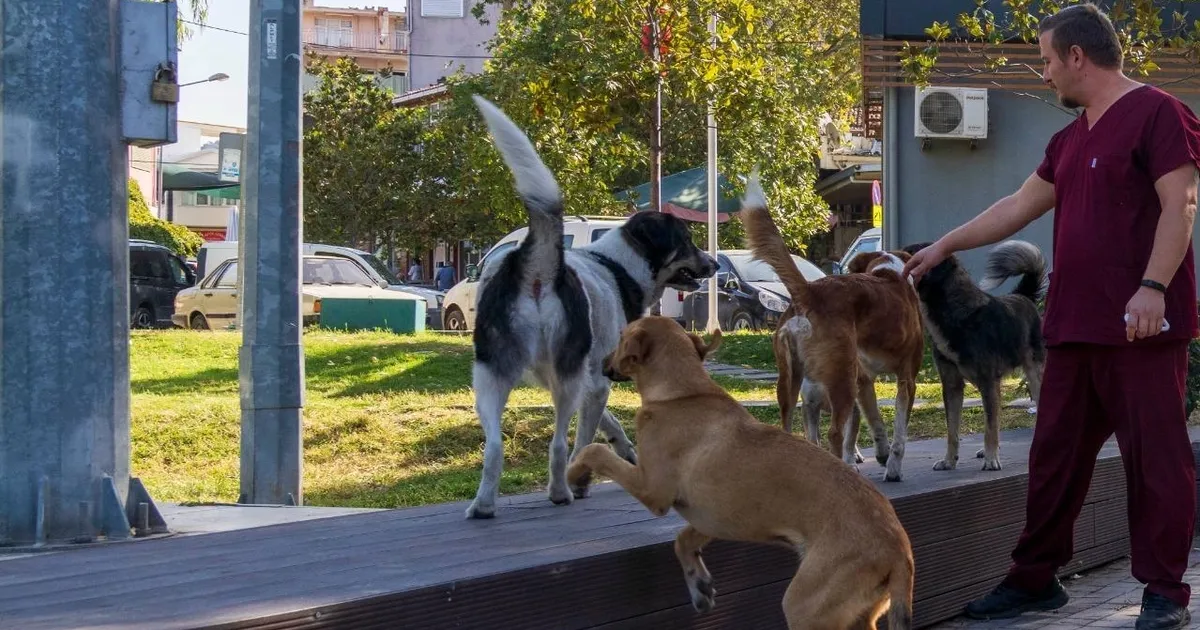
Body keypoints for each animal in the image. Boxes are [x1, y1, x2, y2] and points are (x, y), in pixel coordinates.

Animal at [465, 97, 710, 516]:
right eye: (687, 240)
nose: (716, 264)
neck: (617, 264)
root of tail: (538, 265)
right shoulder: (594, 380)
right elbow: (584, 439)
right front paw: (582, 480)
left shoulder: (583, 381)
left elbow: (608, 423)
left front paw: (624, 450)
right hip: (563, 379)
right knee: (558, 445)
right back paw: (560, 491)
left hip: (491, 376)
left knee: (494, 447)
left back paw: (483, 504)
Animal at [566, 316, 912, 628]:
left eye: (621, 336)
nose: (601, 362)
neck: (682, 393)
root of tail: (899, 552)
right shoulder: (713, 516)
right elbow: (683, 539)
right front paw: (699, 585)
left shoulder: (653, 490)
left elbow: (594, 451)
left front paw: (574, 476)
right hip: (857, 613)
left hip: (805, 607)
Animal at [739, 170, 926, 477]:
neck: (888, 272)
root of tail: (809, 292)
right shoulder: (906, 379)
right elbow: (899, 432)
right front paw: (893, 467)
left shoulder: (864, 381)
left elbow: (875, 420)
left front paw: (883, 453)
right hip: (841, 380)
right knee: (835, 434)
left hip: (790, 379)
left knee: (789, 429)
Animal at [902, 240, 1041, 470]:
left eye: (912, 253)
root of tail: (1022, 296)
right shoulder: (952, 386)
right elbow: (952, 431)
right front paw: (949, 460)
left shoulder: (988, 381)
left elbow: (990, 427)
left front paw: (991, 459)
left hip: (1035, 374)